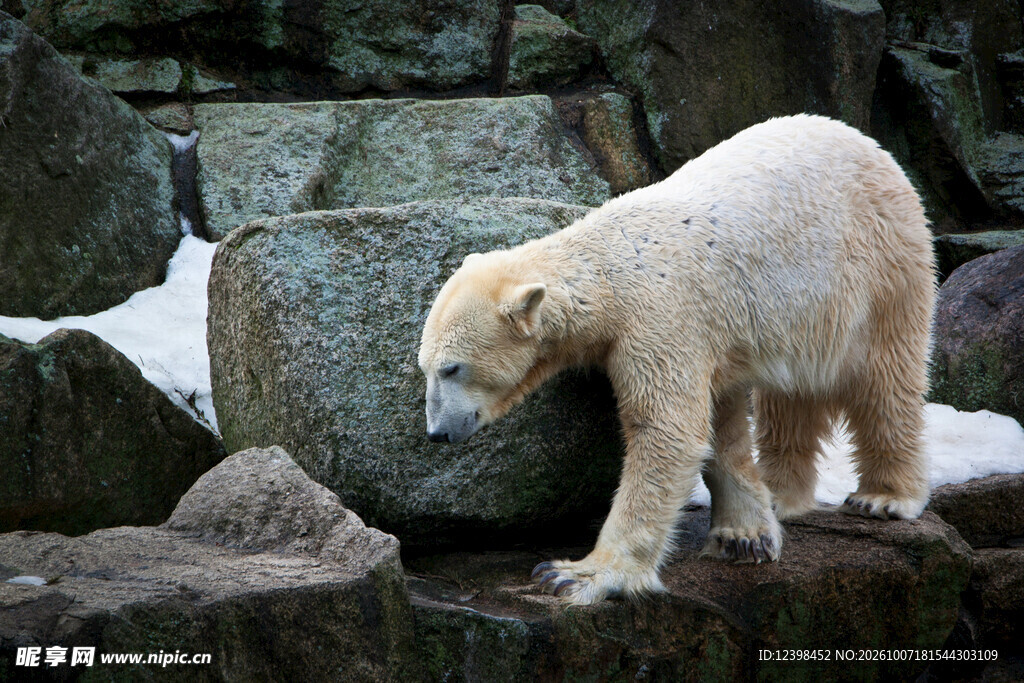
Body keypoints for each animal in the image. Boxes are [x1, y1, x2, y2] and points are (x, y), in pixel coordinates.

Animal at [418, 114, 936, 605]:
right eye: (425, 368)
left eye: (452, 368)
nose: (437, 432)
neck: (610, 270)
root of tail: (871, 146)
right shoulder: (712, 332)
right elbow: (719, 422)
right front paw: (744, 534)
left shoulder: (661, 317)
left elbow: (666, 429)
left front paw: (577, 574)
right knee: (790, 396)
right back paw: (782, 492)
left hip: (881, 267)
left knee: (886, 378)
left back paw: (884, 497)